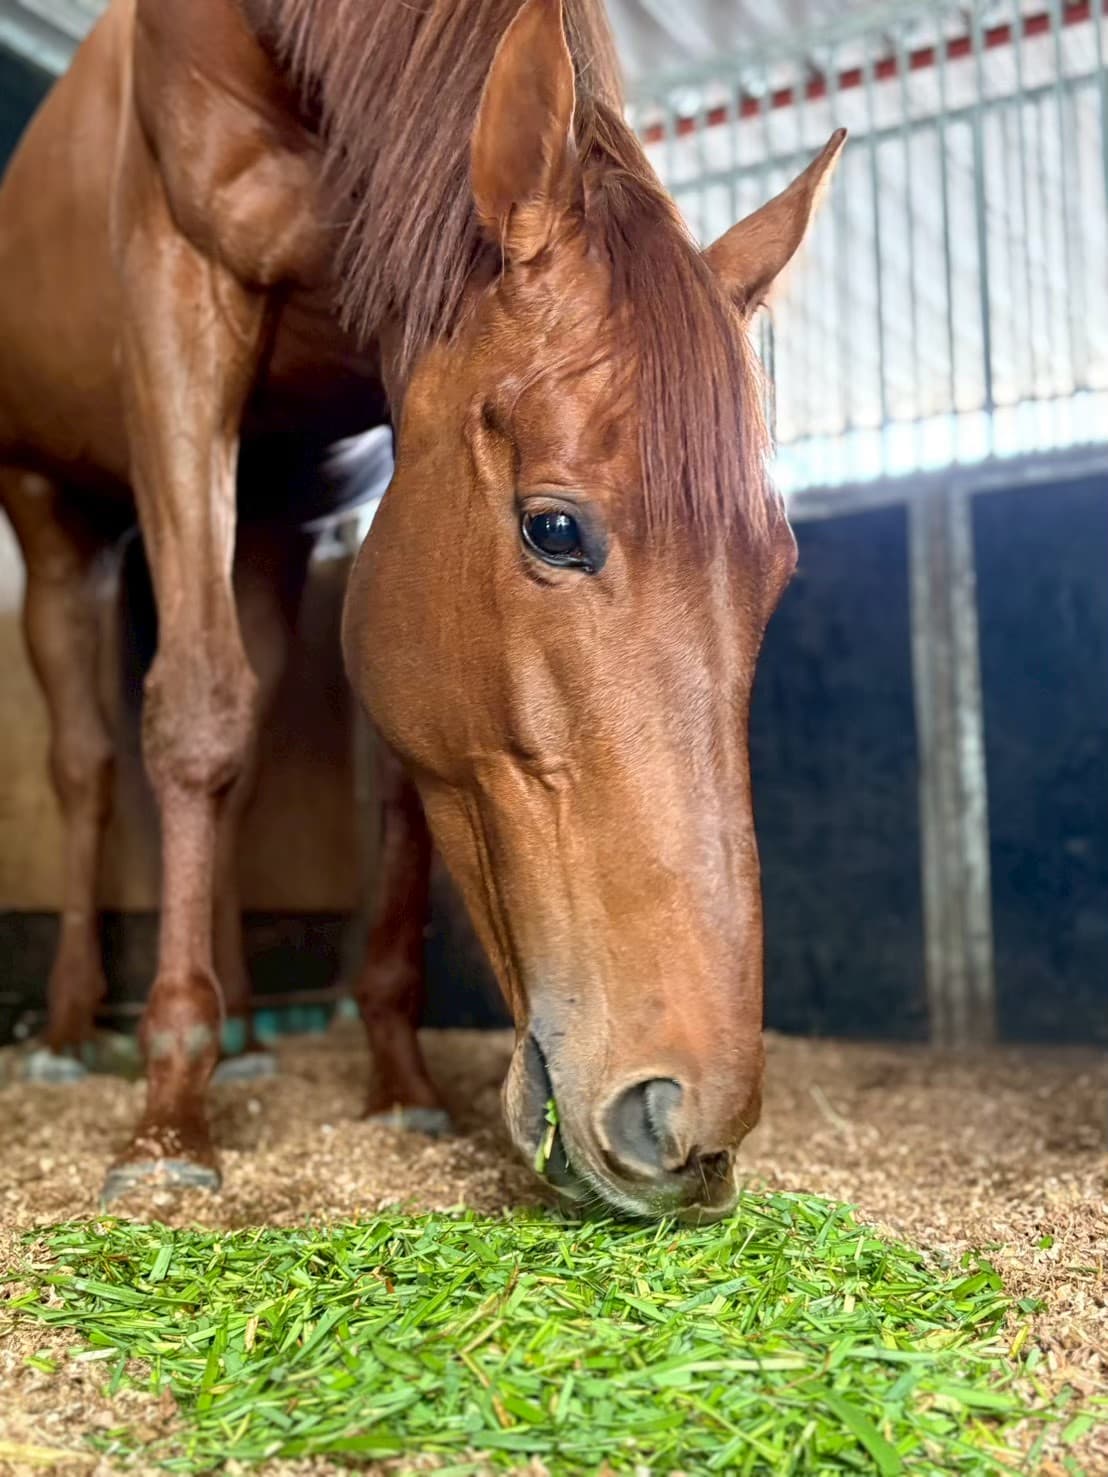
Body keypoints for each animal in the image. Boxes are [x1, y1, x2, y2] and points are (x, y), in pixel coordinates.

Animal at [0, 0, 843, 1217]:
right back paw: (73, 1031)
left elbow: (387, 771)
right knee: (91, 765)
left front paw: (398, 1080)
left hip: (276, 510)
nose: (687, 1127)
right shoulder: (178, 295)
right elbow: (193, 714)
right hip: (55, 518)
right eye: (555, 530)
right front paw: (167, 1126)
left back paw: (247, 1034)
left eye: (775, 568)